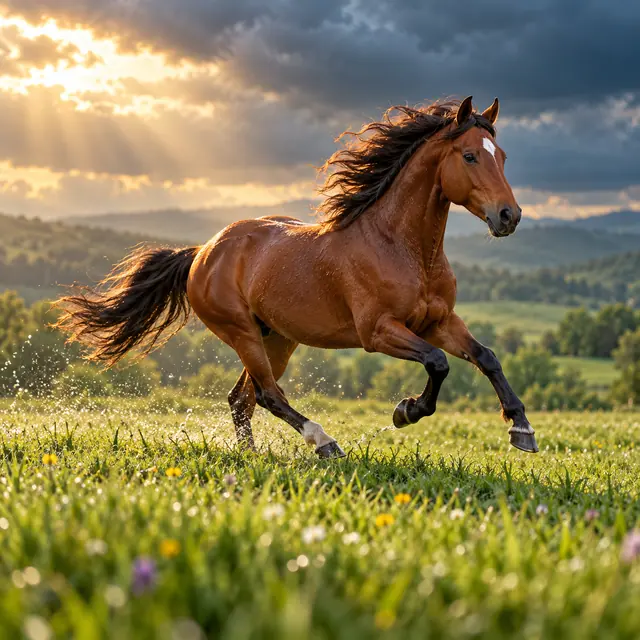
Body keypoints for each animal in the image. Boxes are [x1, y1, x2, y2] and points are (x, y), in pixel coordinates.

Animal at [55, 96, 538, 459]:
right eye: (470, 155)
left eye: (503, 156)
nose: (509, 216)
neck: (403, 249)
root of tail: (203, 252)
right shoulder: (378, 331)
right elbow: (437, 363)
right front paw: (406, 411)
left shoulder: (439, 322)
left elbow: (486, 357)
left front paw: (522, 429)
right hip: (242, 333)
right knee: (268, 395)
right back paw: (324, 442)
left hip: (278, 338)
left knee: (242, 399)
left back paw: (251, 455)